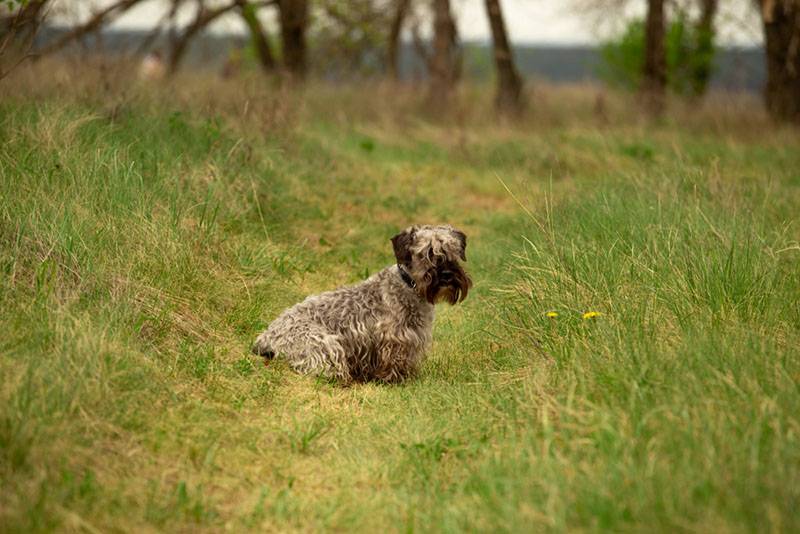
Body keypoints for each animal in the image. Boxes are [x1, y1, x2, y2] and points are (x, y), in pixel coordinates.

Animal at [253, 226, 472, 386]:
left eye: (453, 251)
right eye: (425, 254)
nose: (447, 275)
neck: (408, 285)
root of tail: (266, 336)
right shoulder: (395, 339)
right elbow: (395, 361)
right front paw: (396, 380)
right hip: (326, 345)